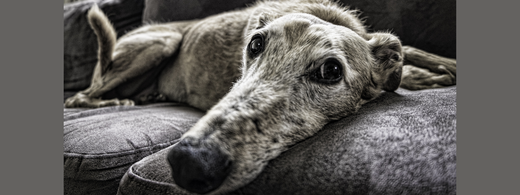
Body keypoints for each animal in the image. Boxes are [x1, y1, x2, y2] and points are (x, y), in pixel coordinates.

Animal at [64, 0, 456, 194]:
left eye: (331, 70)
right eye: (255, 44)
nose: (190, 162)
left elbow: (412, 50)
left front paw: (439, 68)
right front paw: (429, 74)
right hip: (160, 42)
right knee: (79, 97)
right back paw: (117, 101)